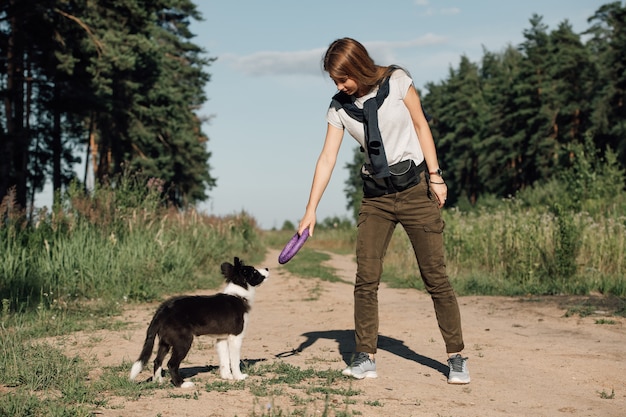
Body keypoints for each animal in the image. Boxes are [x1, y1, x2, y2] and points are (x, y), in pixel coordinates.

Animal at [129, 256, 268, 386]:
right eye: (254, 272)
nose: (267, 268)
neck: (238, 295)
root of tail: (163, 310)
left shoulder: (221, 338)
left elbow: (224, 359)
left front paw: (226, 376)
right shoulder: (235, 337)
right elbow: (234, 360)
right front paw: (239, 377)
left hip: (165, 341)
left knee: (157, 360)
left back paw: (158, 381)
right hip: (183, 341)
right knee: (171, 364)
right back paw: (182, 384)